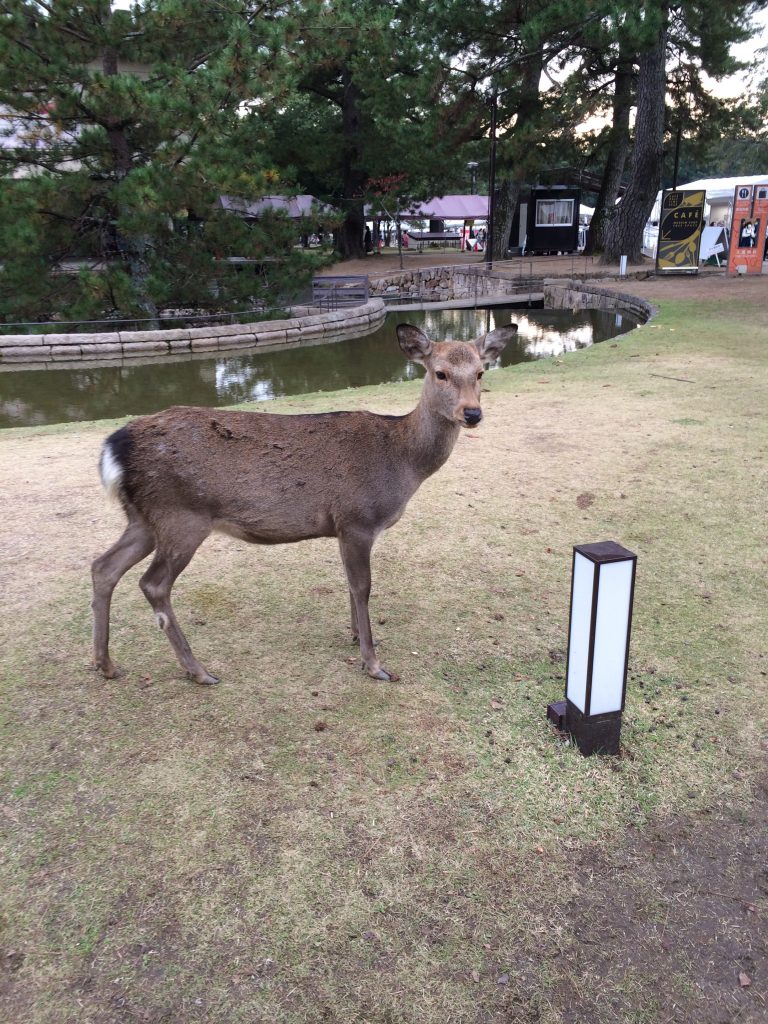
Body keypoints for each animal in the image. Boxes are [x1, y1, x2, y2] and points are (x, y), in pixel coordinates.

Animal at [93, 323, 520, 684]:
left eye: (481, 372)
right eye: (440, 373)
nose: (472, 413)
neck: (402, 463)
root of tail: (115, 447)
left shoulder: (343, 529)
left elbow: (349, 584)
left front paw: (357, 637)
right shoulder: (357, 519)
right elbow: (362, 586)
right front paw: (374, 664)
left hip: (144, 518)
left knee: (103, 566)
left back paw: (106, 664)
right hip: (182, 516)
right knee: (152, 583)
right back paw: (198, 671)